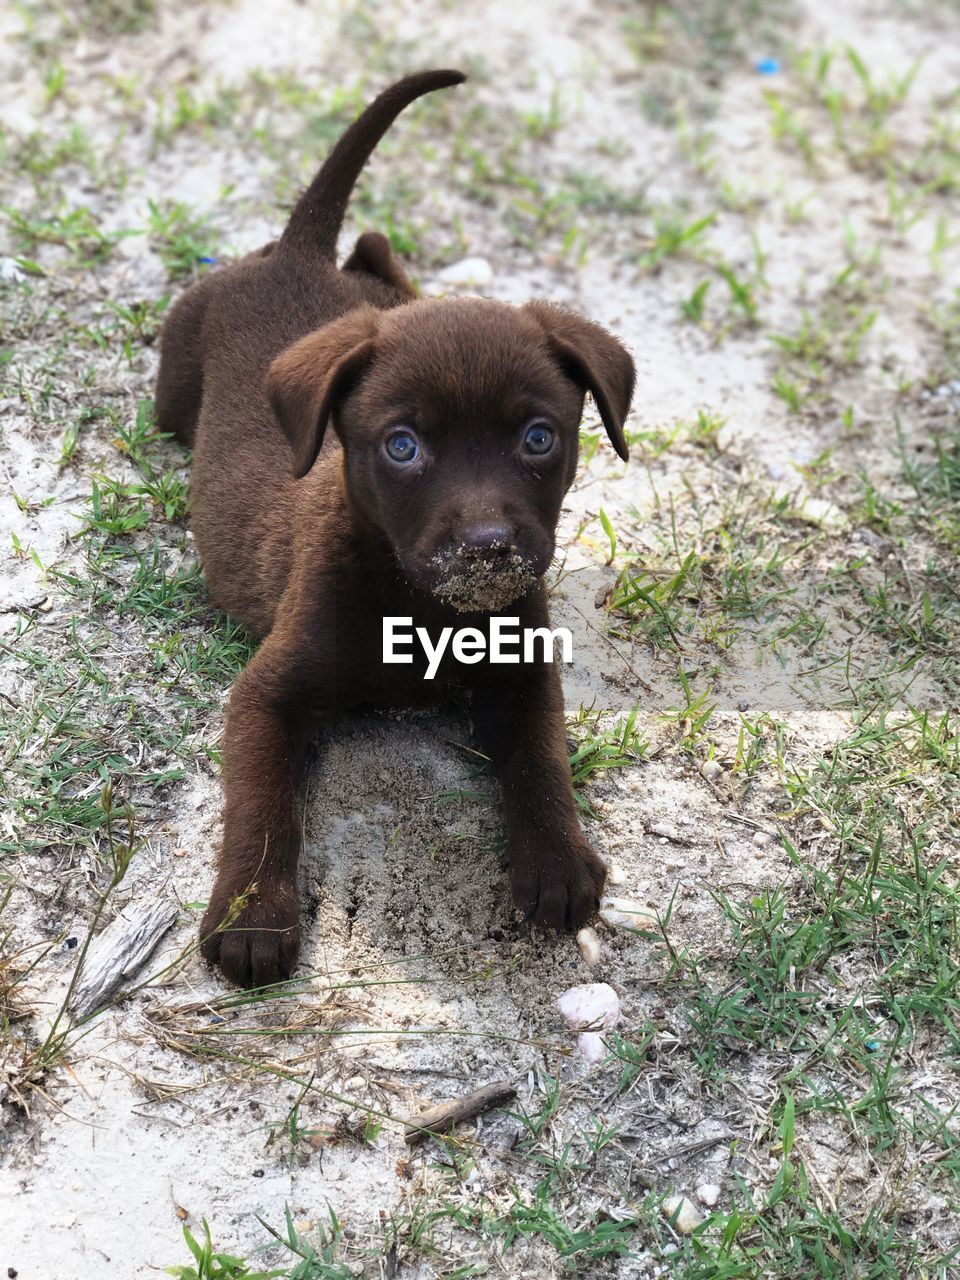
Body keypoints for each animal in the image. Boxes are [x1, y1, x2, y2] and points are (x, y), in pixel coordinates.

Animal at [156, 70, 640, 988]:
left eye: (539, 437)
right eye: (403, 446)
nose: (488, 548)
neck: (419, 604)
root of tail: (297, 254)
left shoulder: (525, 669)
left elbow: (542, 756)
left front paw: (557, 860)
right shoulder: (266, 692)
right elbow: (262, 802)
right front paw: (252, 916)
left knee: (375, 245)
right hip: (174, 377)